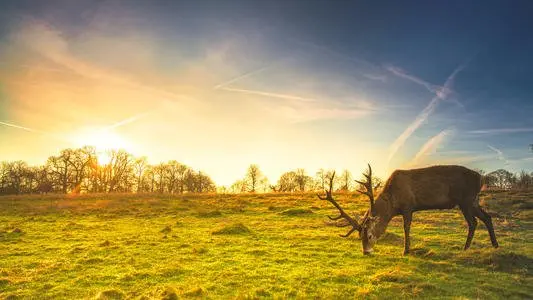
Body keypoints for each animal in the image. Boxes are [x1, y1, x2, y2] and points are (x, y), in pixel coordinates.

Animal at [318, 164, 496, 255]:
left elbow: (406, 227)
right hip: (473, 201)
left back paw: (465, 248)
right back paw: (495, 245)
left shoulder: (408, 206)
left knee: (473, 222)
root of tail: (481, 178)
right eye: (359, 235)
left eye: (369, 235)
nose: (366, 252)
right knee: (487, 217)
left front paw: (406, 250)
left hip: (466, 200)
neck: (392, 203)